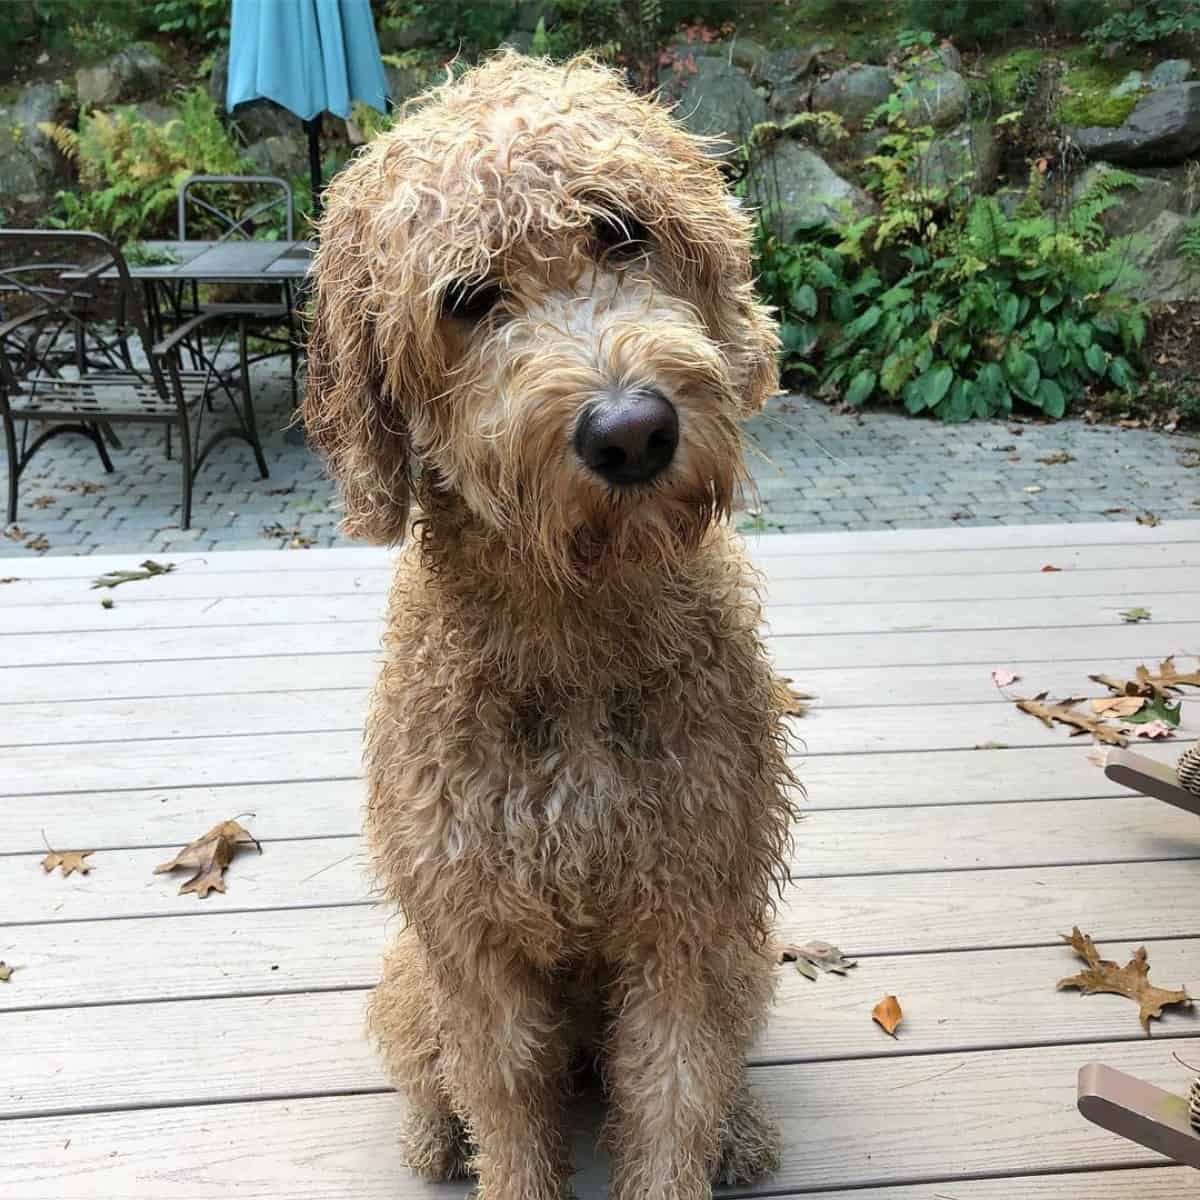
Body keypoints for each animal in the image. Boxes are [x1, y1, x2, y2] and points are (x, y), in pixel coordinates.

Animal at [302, 49, 796, 1200]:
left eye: (622, 231)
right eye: (468, 299)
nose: (632, 431)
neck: (574, 625)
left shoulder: (690, 921)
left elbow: (674, 1103)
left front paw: (701, 1143)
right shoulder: (475, 949)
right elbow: (505, 1113)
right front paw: (485, 1147)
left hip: (748, 957)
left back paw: (744, 1131)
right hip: (410, 976)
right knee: (430, 1073)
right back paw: (432, 1137)